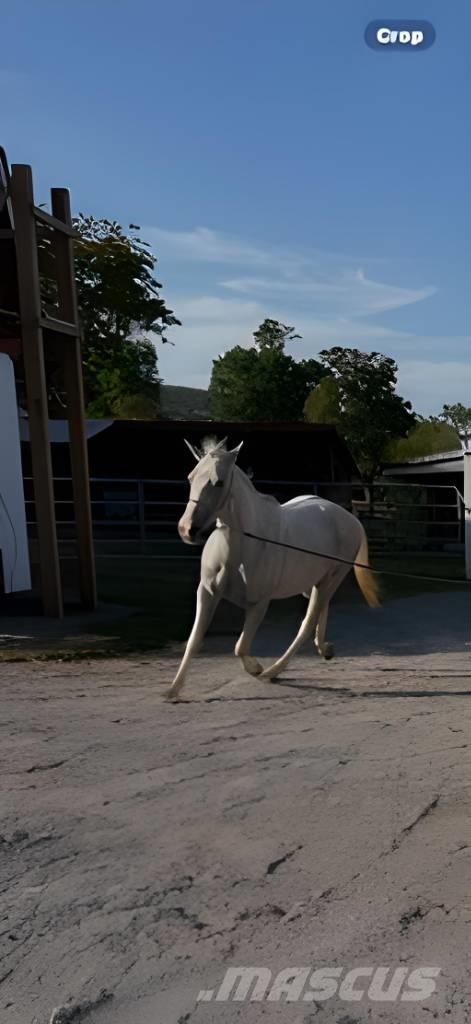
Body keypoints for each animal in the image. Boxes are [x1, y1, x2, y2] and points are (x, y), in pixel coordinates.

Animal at [166, 436, 380, 700]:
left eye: (219, 482)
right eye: (190, 477)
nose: (187, 529)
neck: (241, 546)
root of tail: (351, 520)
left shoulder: (259, 603)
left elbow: (240, 646)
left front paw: (256, 669)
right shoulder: (206, 593)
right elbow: (194, 640)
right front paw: (173, 689)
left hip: (333, 577)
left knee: (307, 622)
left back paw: (274, 671)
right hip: (314, 582)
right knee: (321, 608)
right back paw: (325, 649)